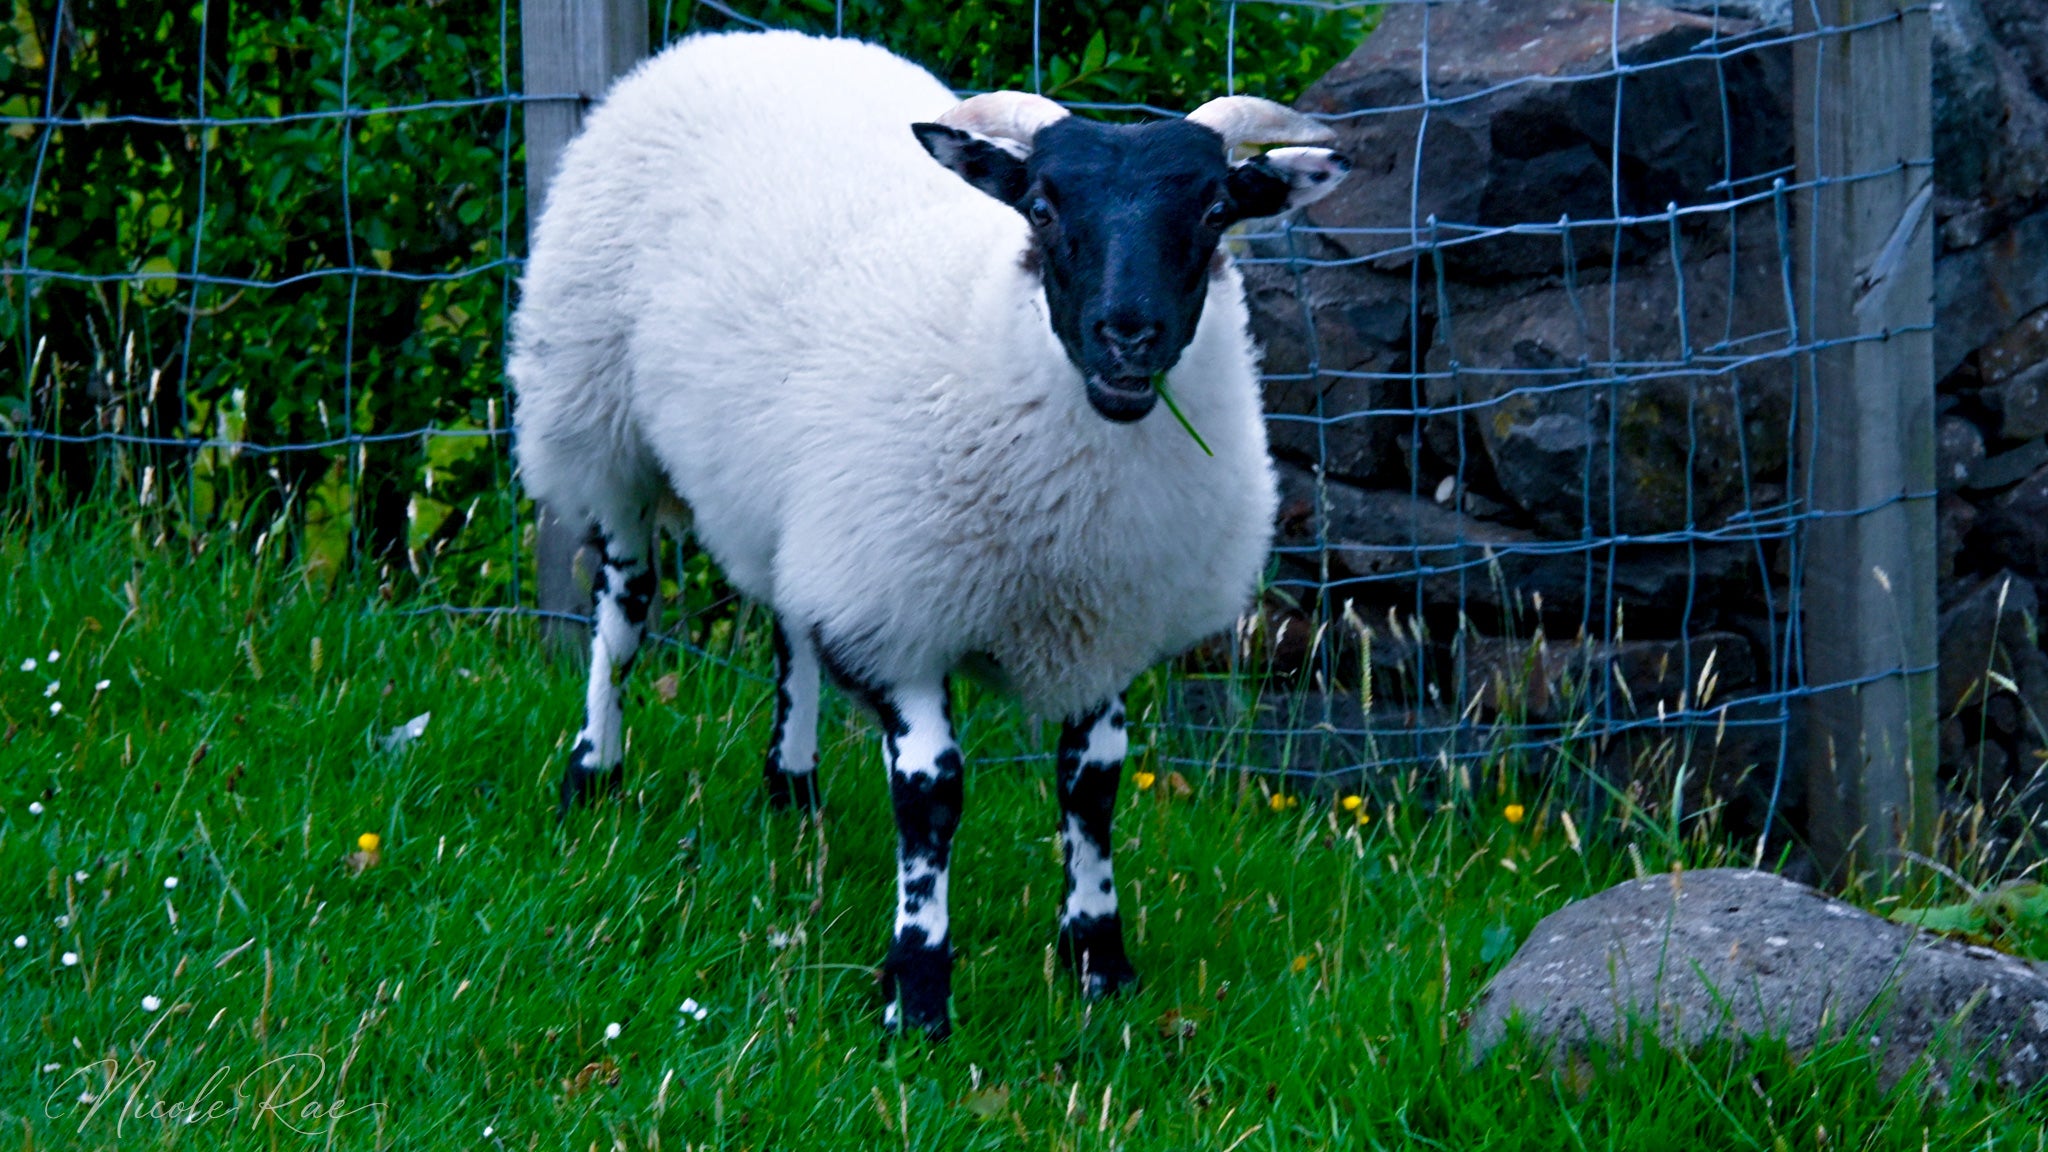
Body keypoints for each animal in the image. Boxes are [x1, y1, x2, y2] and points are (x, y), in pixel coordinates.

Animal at [508, 29, 1350, 1038]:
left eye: (1218, 208)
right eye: (1040, 206)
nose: (1129, 337)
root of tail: (739, 38)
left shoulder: (1102, 624)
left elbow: (1093, 788)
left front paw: (1098, 963)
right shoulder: (894, 612)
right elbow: (932, 796)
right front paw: (916, 991)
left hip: (805, 504)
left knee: (789, 625)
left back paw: (792, 791)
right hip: (597, 416)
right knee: (624, 607)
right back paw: (592, 772)